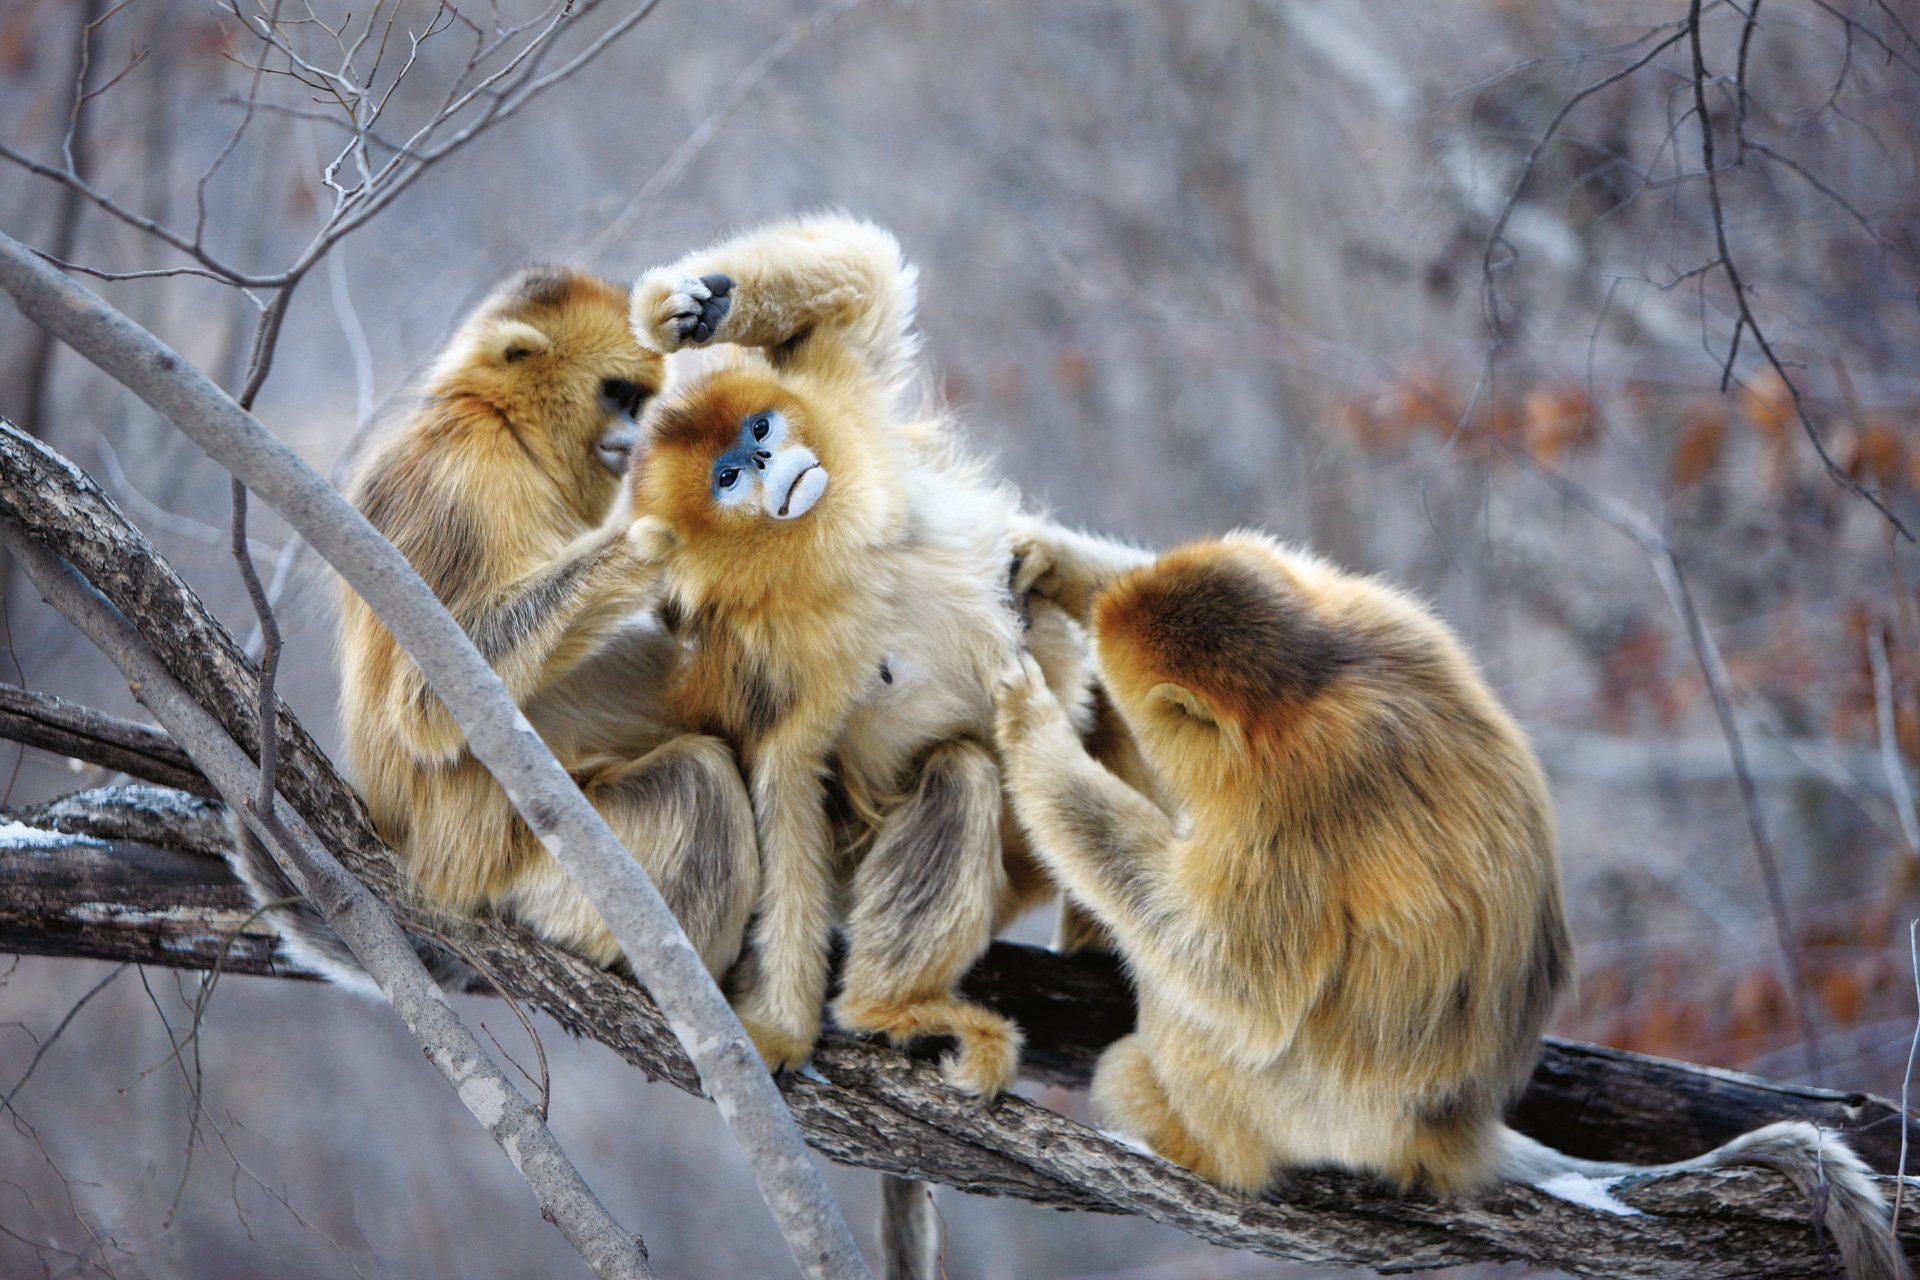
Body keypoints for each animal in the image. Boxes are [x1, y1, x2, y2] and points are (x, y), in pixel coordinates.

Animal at [226, 262, 756, 990]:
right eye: (616, 394)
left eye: (641, 401)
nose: (632, 436)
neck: (506, 428)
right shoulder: (462, 477)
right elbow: (426, 709)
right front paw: (667, 525)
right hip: (545, 881)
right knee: (698, 783)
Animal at [998, 529, 1912, 1280]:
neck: (1316, 683)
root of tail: (1454, 1128)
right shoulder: (1379, 611)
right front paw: (1055, 563)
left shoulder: (1291, 794)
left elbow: (1239, 985)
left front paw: (1030, 728)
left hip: (1314, 1115)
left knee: (1201, 1020)